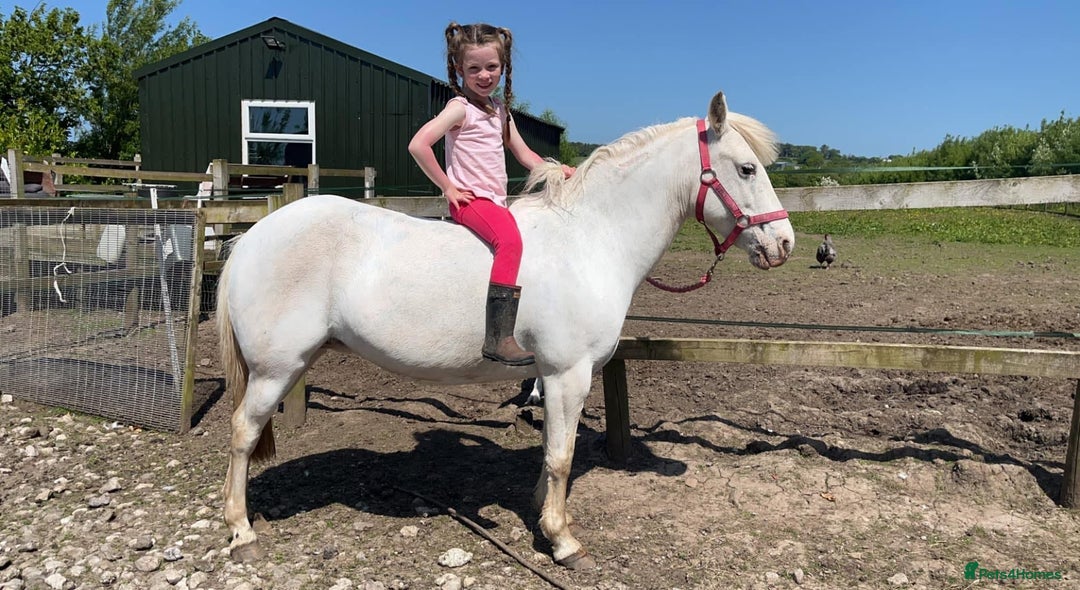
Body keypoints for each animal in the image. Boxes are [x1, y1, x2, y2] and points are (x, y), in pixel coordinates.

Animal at [216, 90, 795, 569]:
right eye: (746, 168)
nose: (785, 243)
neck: (592, 237)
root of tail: (251, 237)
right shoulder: (567, 373)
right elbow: (562, 456)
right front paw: (562, 540)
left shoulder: (554, 376)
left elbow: (552, 449)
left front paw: (542, 510)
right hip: (274, 369)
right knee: (243, 433)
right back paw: (241, 530)